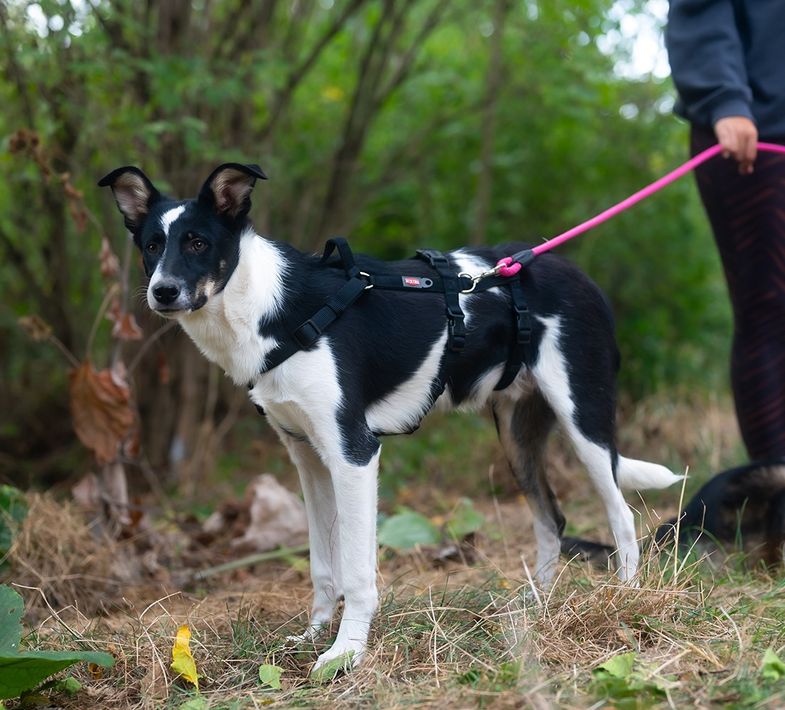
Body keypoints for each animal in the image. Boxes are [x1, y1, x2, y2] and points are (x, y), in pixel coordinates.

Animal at [99, 162, 680, 672]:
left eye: (198, 242)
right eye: (152, 246)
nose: (162, 292)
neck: (271, 307)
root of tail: (575, 273)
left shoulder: (354, 454)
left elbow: (357, 572)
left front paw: (345, 653)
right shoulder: (309, 460)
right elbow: (323, 564)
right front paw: (312, 636)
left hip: (584, 420)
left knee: (621, 516)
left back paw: (624, 602)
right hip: (518, 439)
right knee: (551, 520)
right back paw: (535, 608)